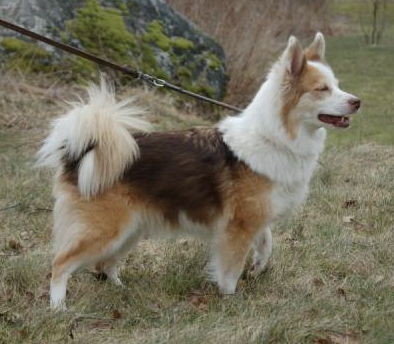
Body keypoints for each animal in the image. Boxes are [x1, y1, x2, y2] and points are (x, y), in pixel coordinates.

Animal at [37, 33, 360, 310]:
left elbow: (267, 242)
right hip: (106, 229)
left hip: (130, 230)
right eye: (322, 89)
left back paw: (120, 289)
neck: (274, 137)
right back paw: (58, 306)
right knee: (60, 264)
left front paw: (258, 267)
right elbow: (230, 270)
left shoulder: (253, 219)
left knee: (105, 264)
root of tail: (82, 152)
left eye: (337, 85)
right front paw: (230, 300)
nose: (357, 102)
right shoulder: (237, 229)